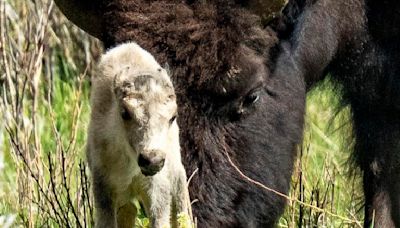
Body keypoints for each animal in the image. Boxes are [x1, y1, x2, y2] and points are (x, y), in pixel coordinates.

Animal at [87, 42, 192, 228]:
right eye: (125, 113)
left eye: (173, 117)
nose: (152, 160)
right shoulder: (103, 186)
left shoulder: (157, 189)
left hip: (177, 178)